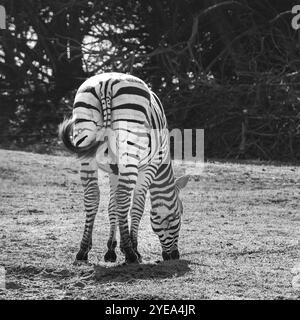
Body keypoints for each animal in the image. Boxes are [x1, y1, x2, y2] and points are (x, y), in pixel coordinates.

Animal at [59, 72, 189, 262]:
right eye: (178, 216)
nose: (174, 256)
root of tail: (106, 83)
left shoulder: (114, 170)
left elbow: (111, 205)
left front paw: (111, 249)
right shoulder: (149, 168)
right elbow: (137, 206)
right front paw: (132, 247)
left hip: (86, 146)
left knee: (92, 196)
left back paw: (83, 250)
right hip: (130, 150)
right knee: (123, 198)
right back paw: (130, 253)